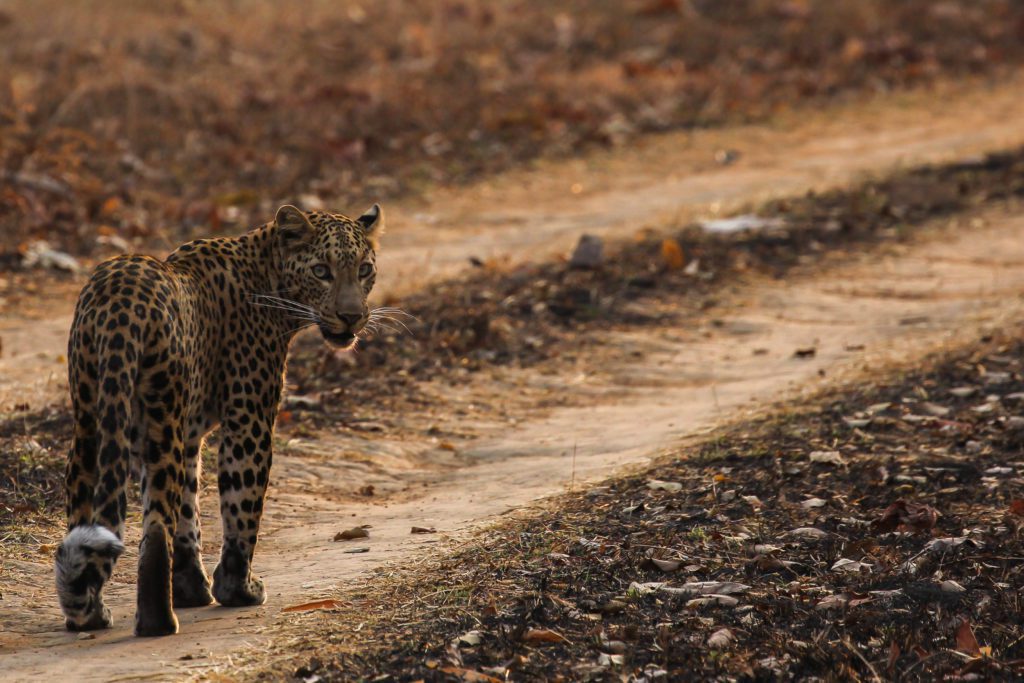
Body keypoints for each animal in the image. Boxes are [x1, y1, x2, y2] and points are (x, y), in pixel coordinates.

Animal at [52, 202, 380, 634]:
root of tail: (117, 301)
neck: (269, 275)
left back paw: (88, 614)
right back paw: (157, 622)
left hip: (94, 415)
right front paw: (237, 589)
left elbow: (189, 513)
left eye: (364, 269)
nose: (351, 316)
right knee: (155, 526)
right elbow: (242, 504)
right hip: (160, 420)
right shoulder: (249, 416)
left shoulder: (190, 435)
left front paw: (192, 589)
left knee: (87, 510)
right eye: (321, 270)